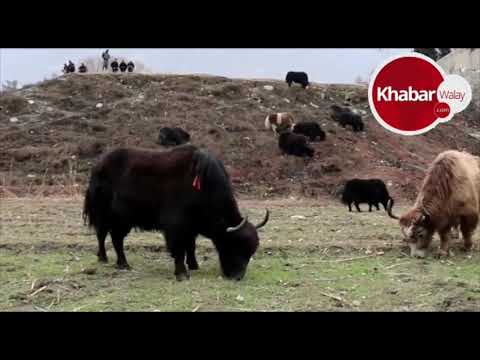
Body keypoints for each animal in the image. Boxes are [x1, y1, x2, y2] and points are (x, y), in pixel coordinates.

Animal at [83, 146, 270, 282]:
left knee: (115, 238)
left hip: (122, 220)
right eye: (235, 244)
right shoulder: (176, 227)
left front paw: (194, 265)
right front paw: (182, 273)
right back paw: (110, 260)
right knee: (103, 235)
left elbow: (191, 245)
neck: (203, 188)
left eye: (251, 251)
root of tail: (97, 165)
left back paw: (119, 263)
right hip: (105, 214)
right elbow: (179, 248)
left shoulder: (191, 227)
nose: (237, 277)